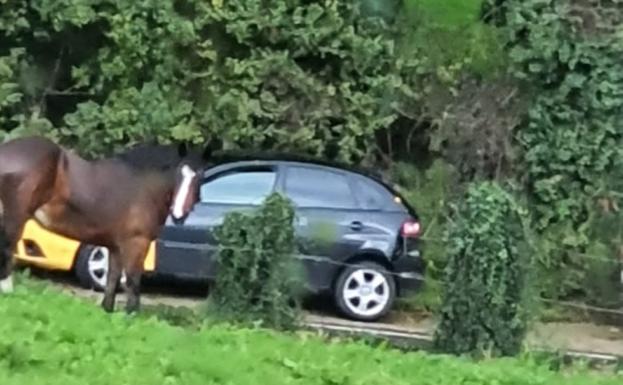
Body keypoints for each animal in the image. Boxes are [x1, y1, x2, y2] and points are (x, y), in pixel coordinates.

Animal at [0, 135, 202, 312]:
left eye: (199, 176)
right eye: (177, 174)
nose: (179, 214)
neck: (143, 187)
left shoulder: (115, 247)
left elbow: (112, 282)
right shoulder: (136, 243)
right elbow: (133, 281)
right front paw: (131, 315)